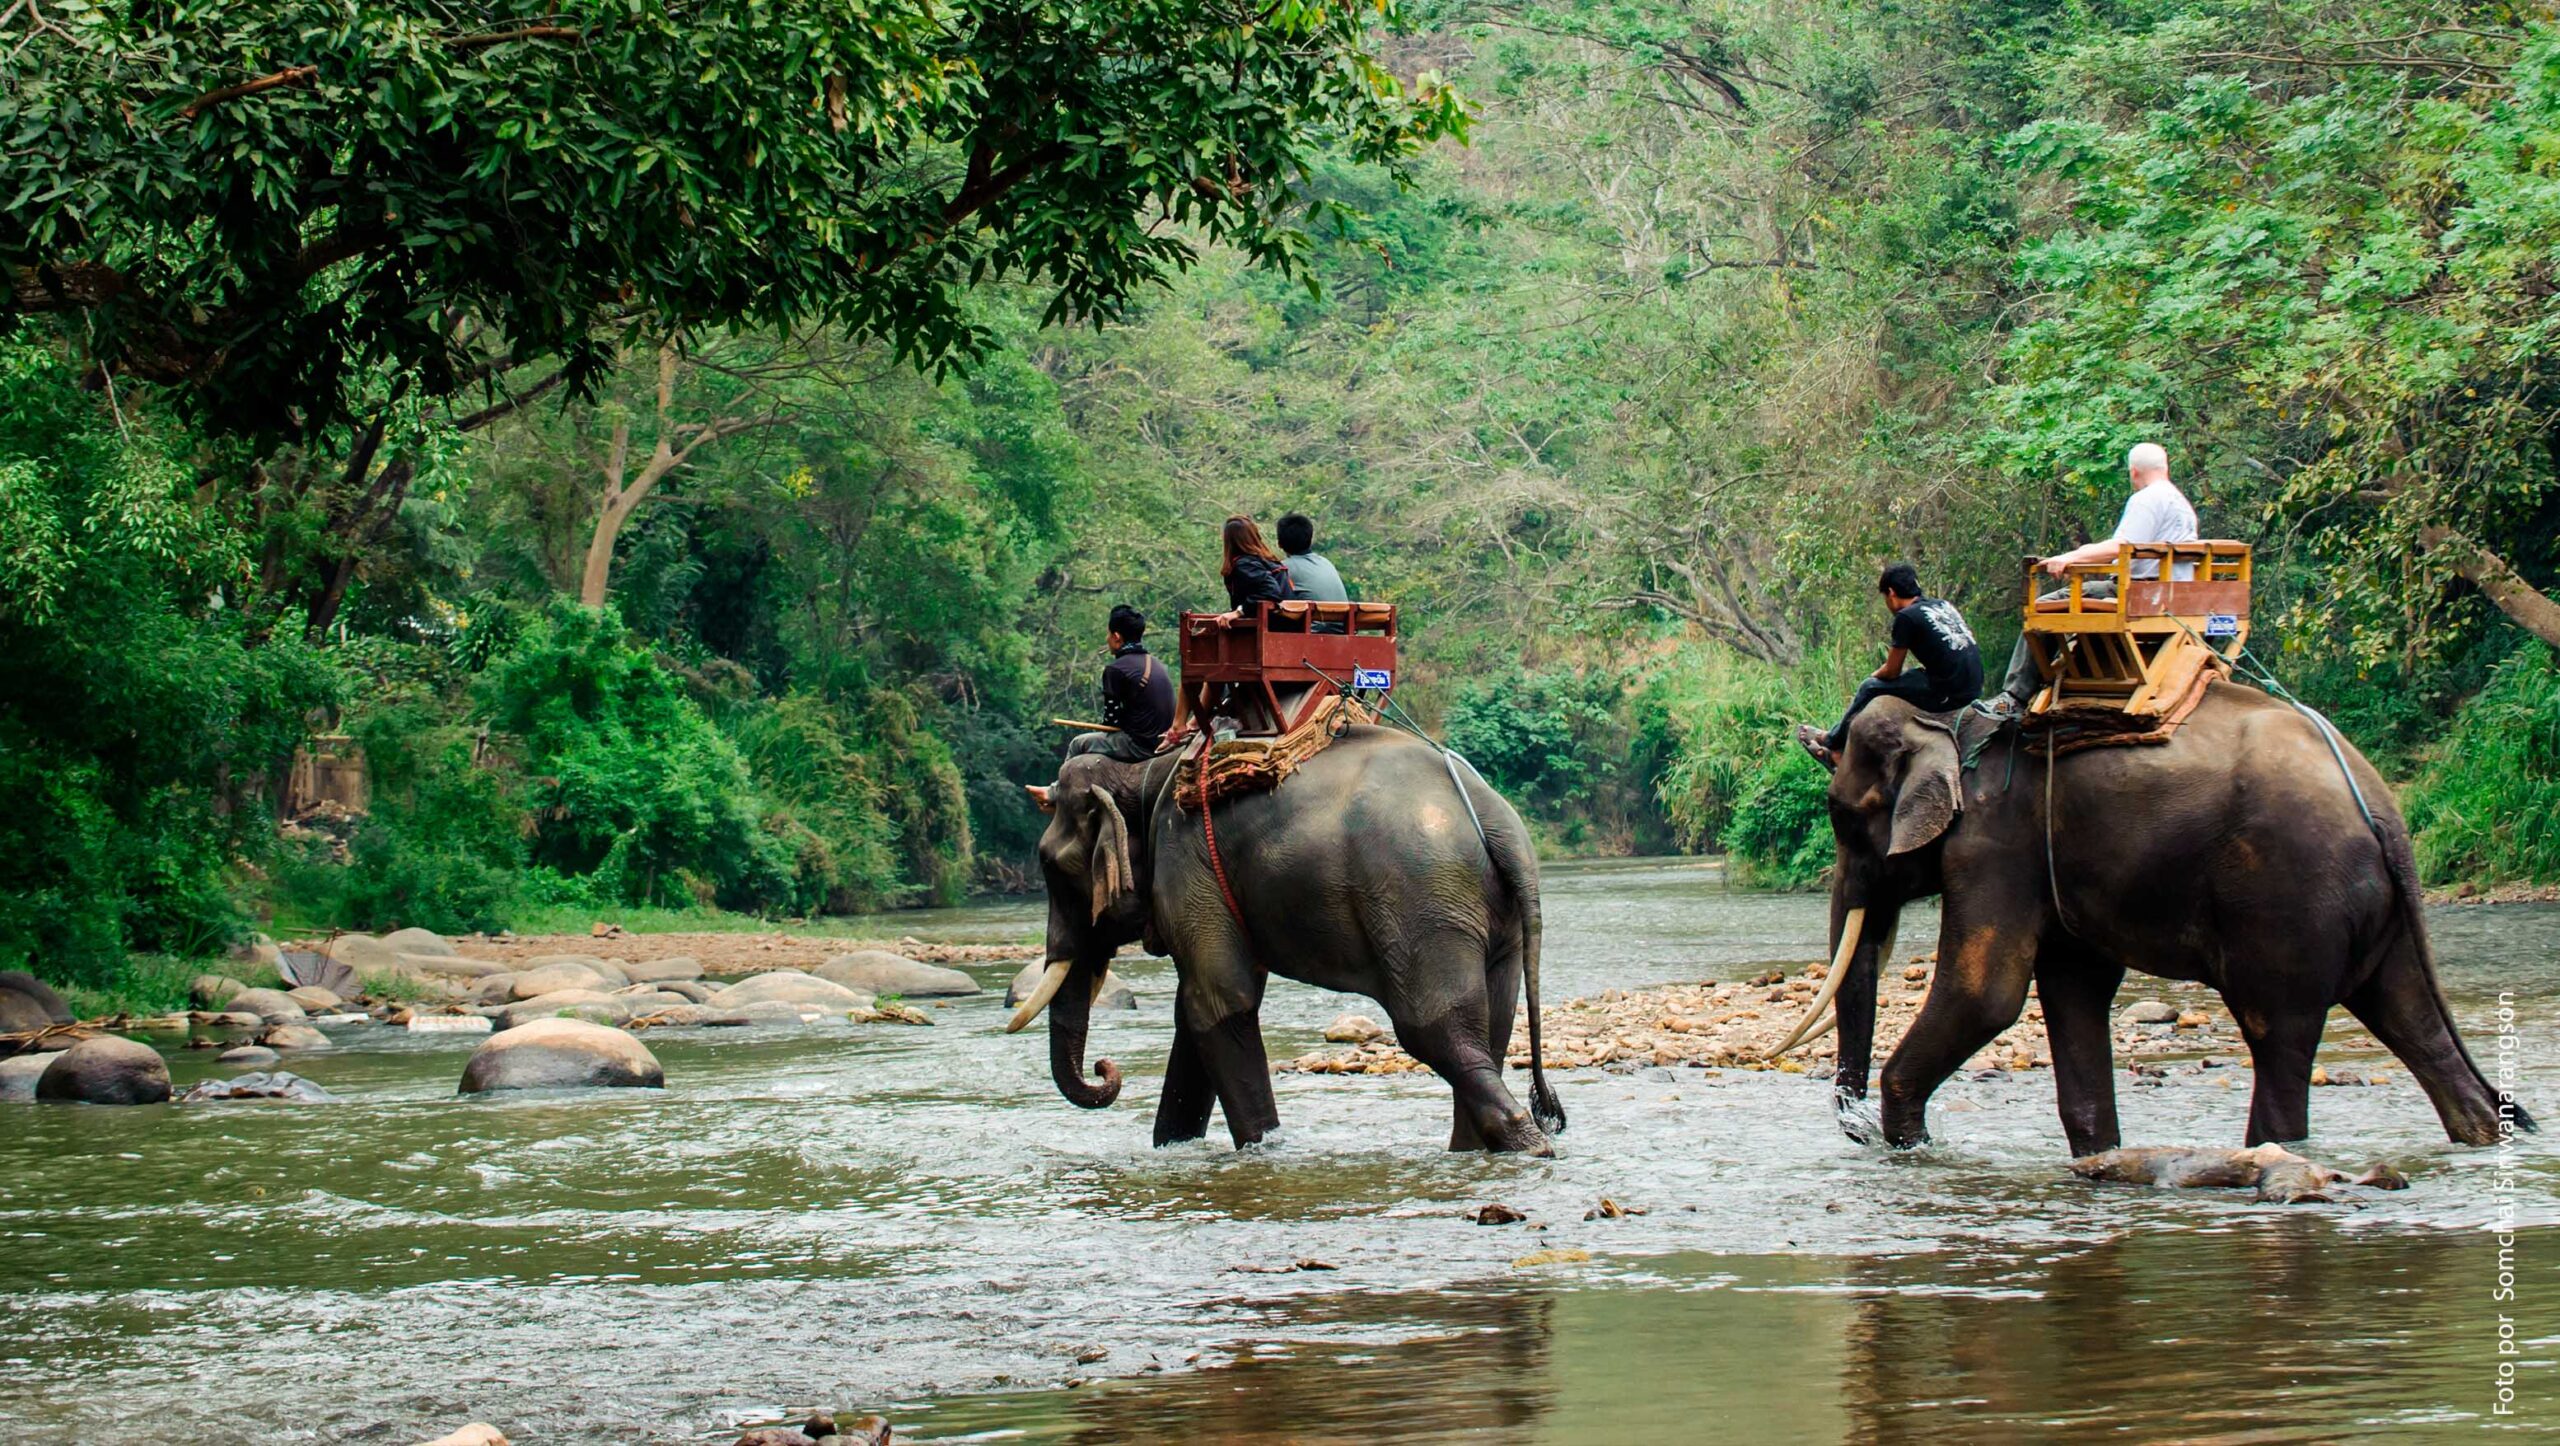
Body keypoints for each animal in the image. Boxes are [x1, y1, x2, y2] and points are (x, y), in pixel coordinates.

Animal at [1013, 726, 1566, 1156]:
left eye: (1049, 865)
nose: (1106, 1068)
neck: (1145, 773)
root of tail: (1499, 824)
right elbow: (1196, 1013)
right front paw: (1173, 1147)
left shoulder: (1187, 863)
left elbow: (1219, 1002)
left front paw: (1263, 1149)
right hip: (1485, 916)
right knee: (1491, 1023)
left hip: (1422, 902)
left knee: (1432, 1029)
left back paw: (1528, 1143)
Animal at [1781, 680, 2519, 1156]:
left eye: (1841, 817)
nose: (1858, 1131)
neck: (1947, 722)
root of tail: (2383, 808)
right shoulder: (2049, 862)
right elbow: (2073, 989)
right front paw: (2099, 1159)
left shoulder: (1995, 846)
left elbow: (1984, 996)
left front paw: (1913, 1148)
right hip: (2378, 917)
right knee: (2410, 1019)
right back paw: (2481, 1136)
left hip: (2290, 902)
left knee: (2277, 1031)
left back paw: (2269, 1155)